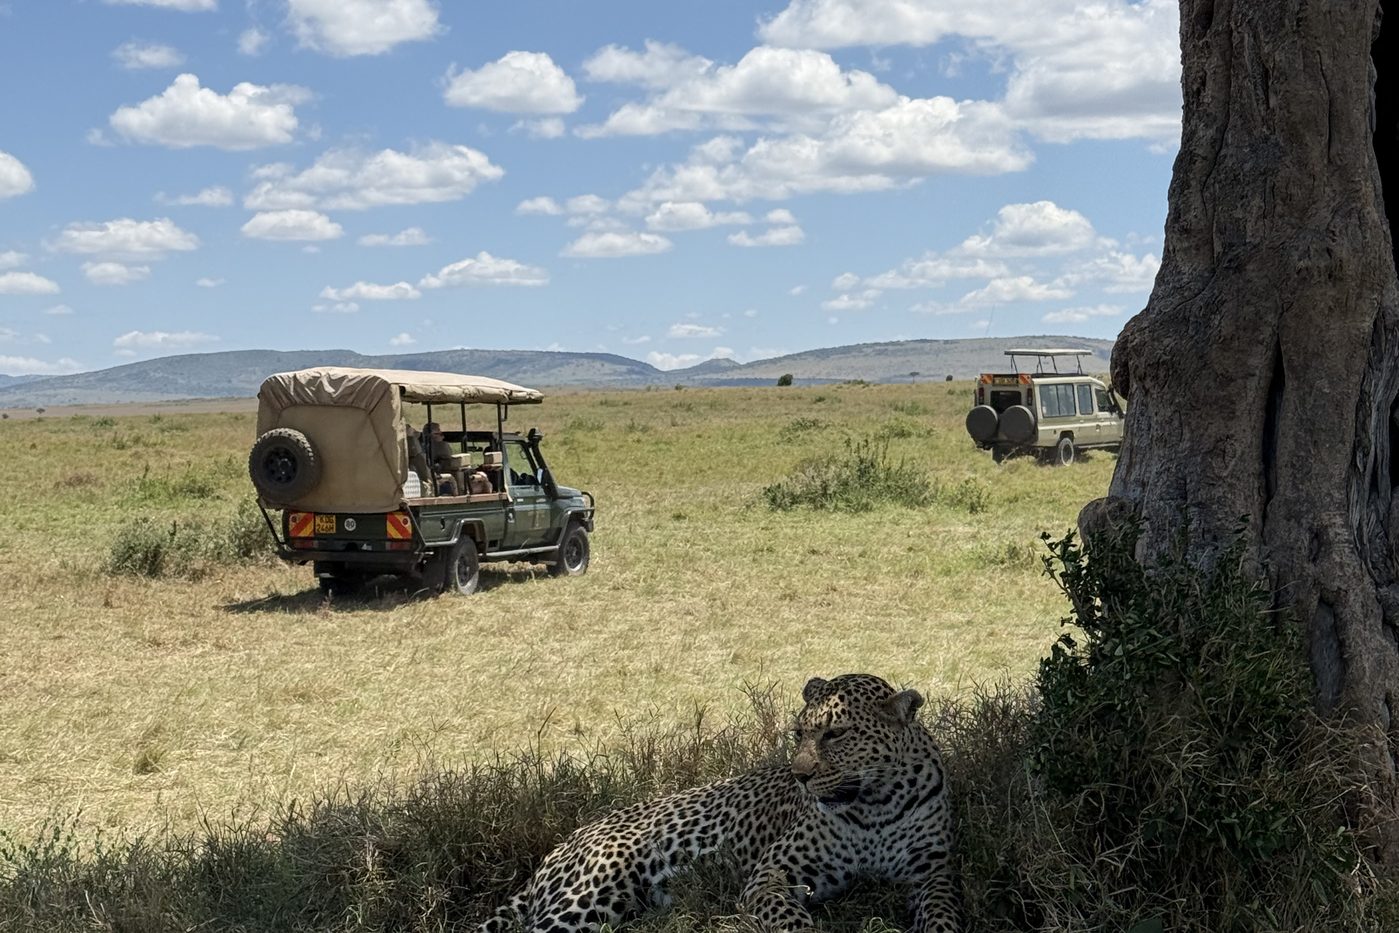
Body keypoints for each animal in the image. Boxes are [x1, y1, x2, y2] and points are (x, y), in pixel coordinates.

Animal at [478, 673, 959, 933]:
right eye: (798, 733)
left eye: (836, 734)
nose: (800, 776)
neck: (874, 805)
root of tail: (561, 844)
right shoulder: (772, 874)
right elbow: (791, 919)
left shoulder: (933, 872)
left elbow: (943, 914)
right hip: (595, 890)